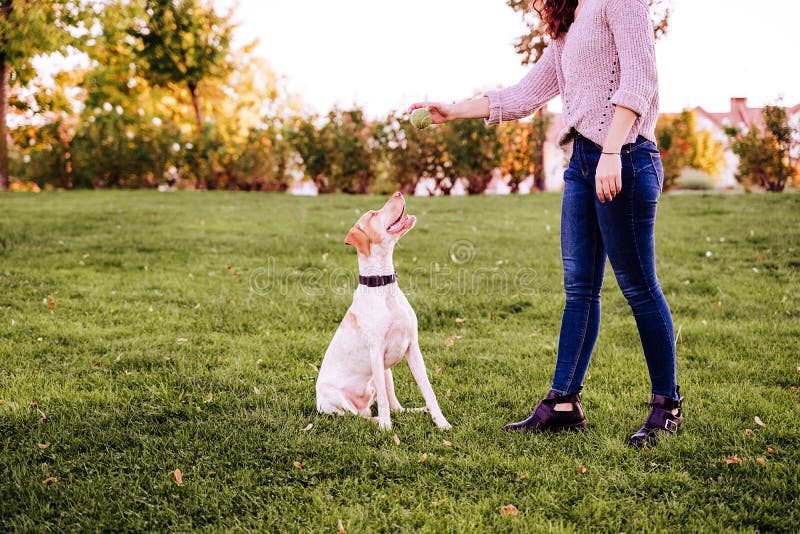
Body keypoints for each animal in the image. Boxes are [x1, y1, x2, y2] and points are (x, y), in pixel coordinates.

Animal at [314, 193, 450, 432]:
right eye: (373, 214)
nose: (398, 193)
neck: (383, 286)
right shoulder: (376, 352)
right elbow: (384, 403)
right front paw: (386, 429)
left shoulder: (413, 347)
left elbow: (428, 390)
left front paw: (441, 422)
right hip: (335, 396)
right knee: (357, 416)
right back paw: (377, 420)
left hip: (387, 375)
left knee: (395, 405)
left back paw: (415, 411)